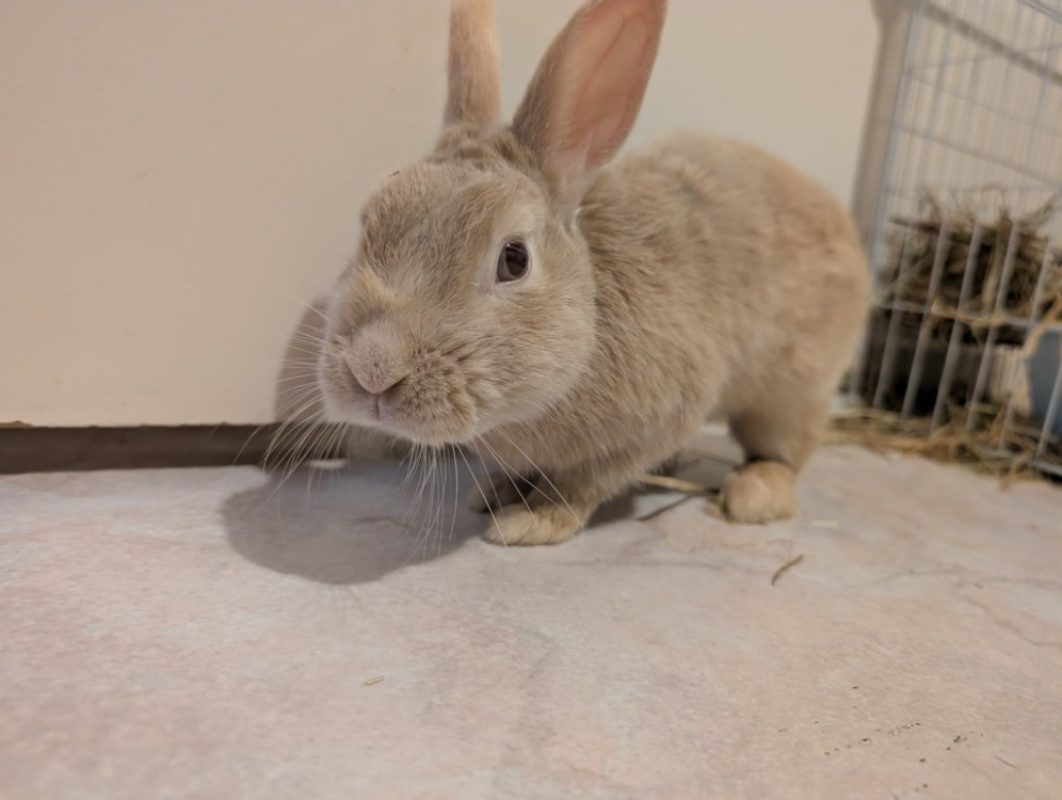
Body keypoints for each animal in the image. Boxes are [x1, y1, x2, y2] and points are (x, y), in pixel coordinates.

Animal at [316, 0, 869, 545]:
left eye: (514, 259)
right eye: (369, 222)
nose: (372, 369)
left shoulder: (649, 427)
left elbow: (582, 485)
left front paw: (530, 522)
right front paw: (493, 492)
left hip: (794, 391)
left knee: (783, 451)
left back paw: (752, 495)